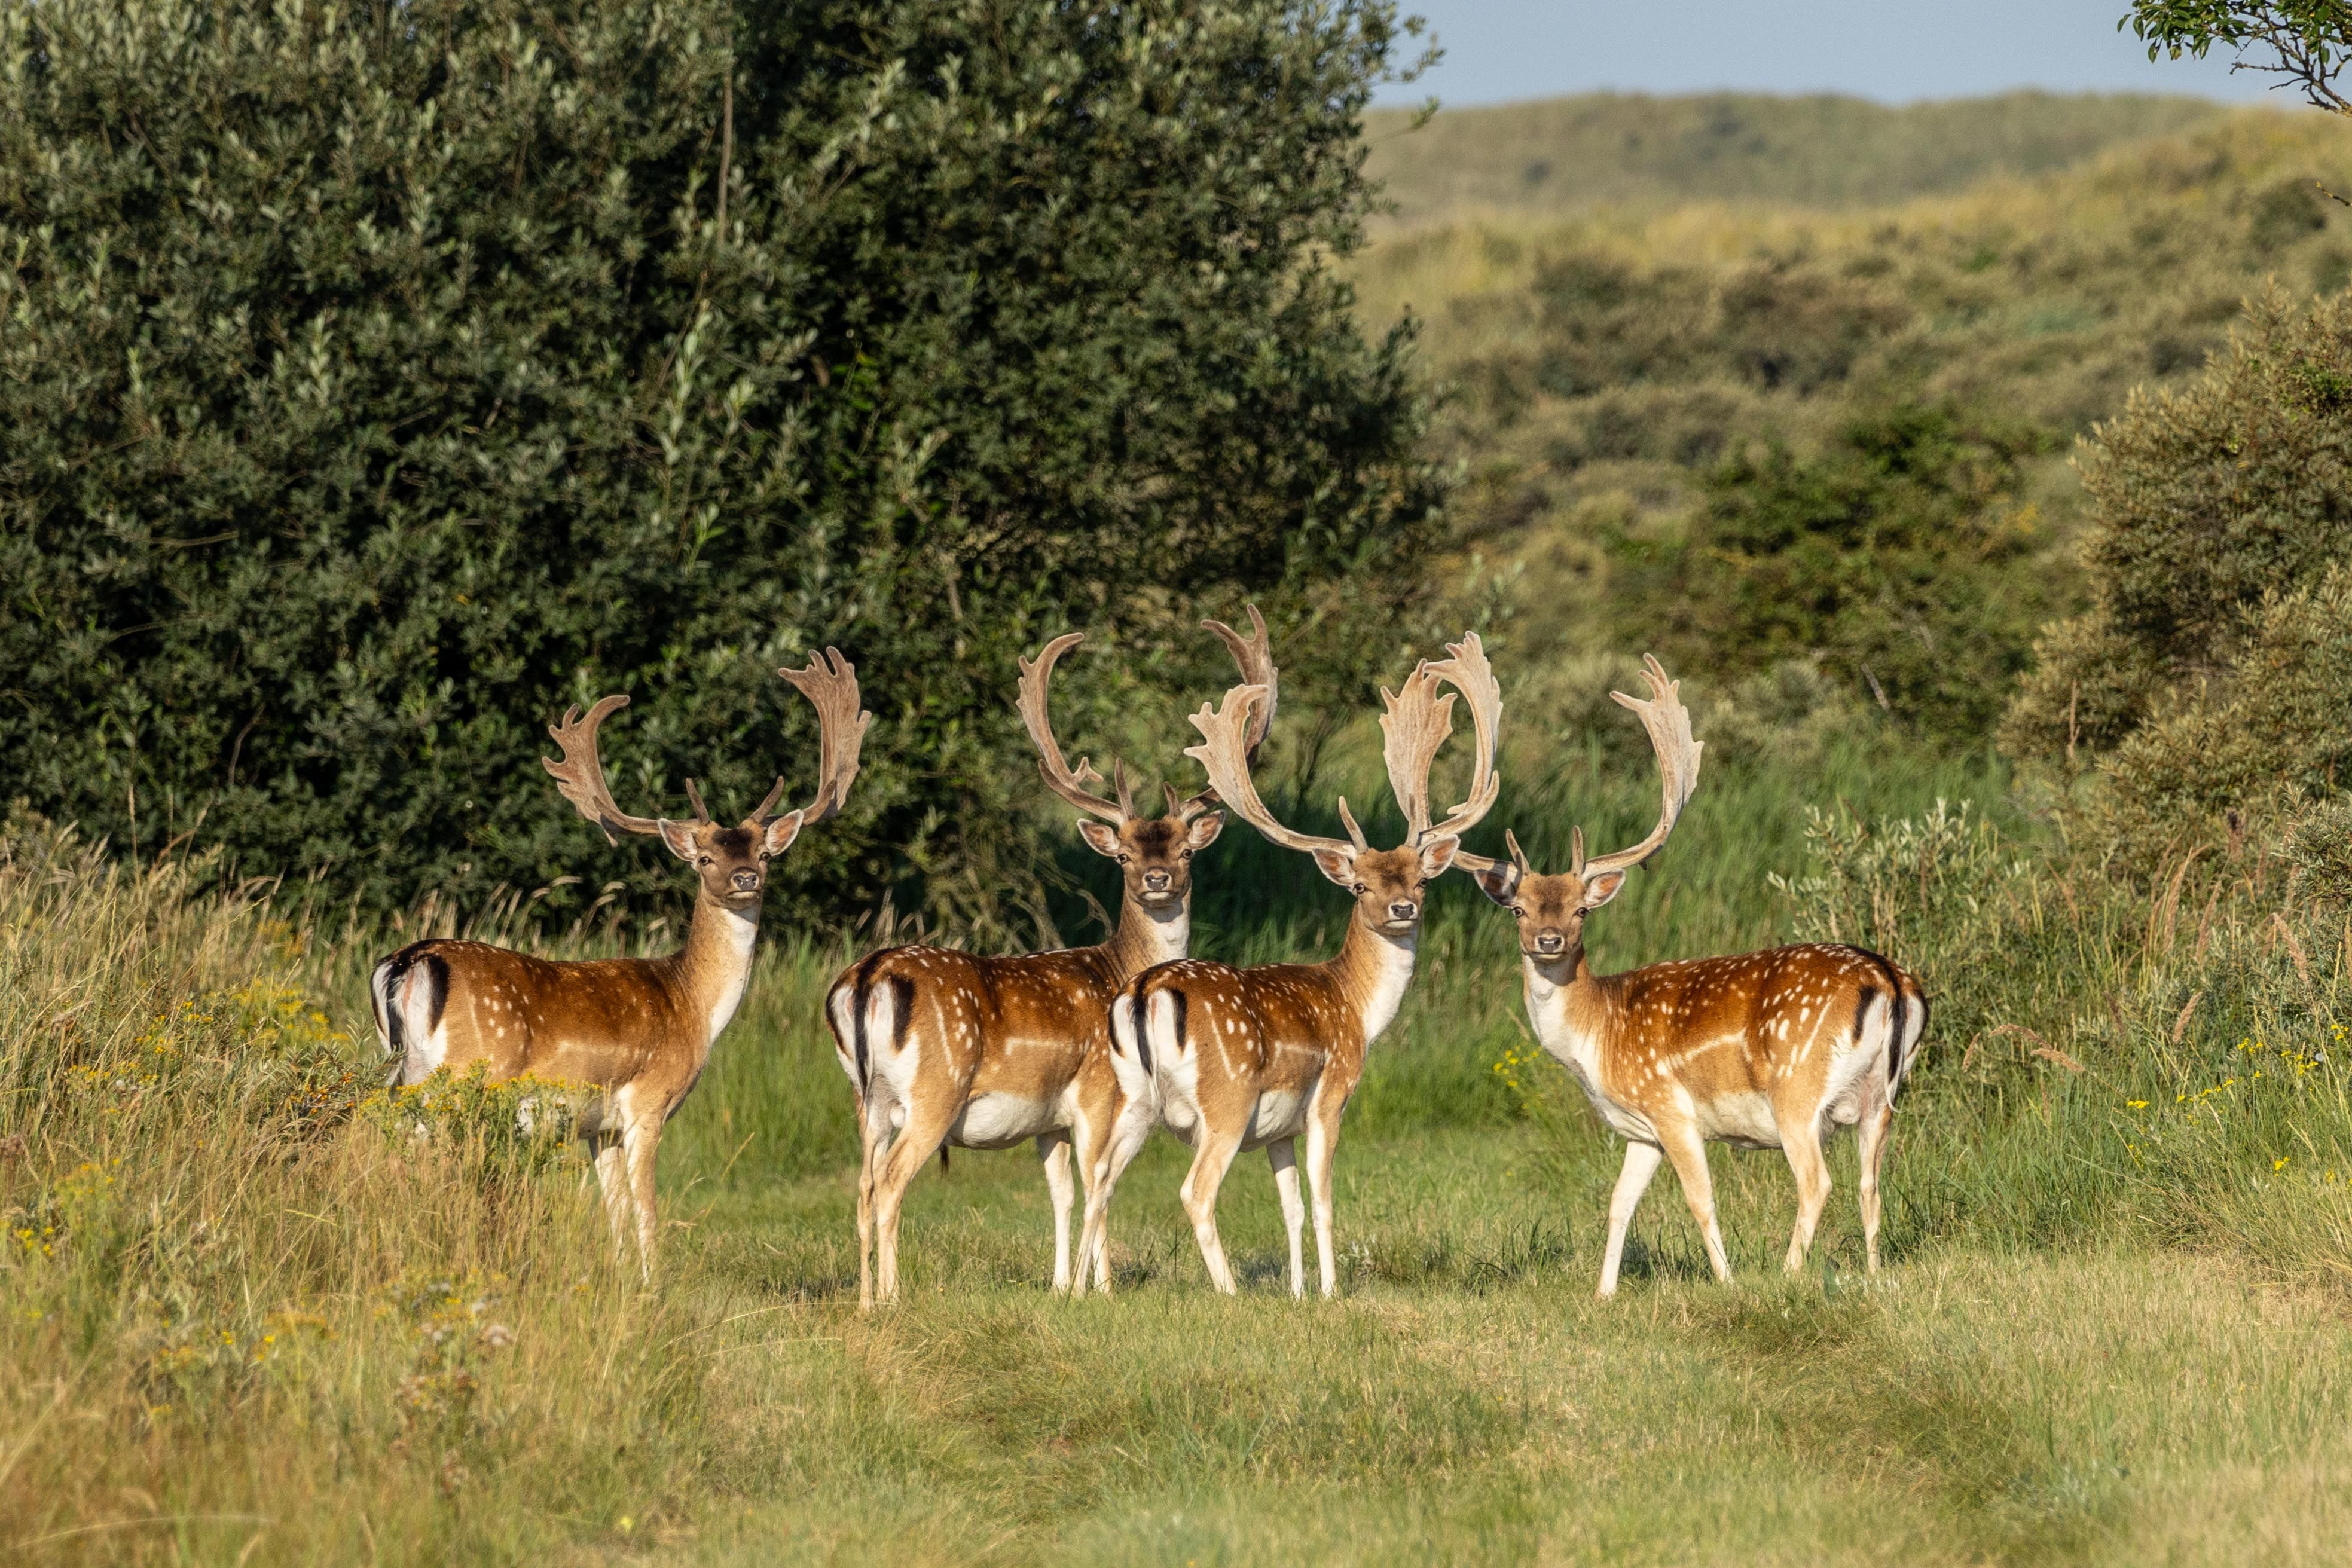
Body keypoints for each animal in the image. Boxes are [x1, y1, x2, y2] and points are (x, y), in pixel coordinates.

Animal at [369, 651, 870, 1280]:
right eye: (704, 858)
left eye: (763, 853)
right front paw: (656, 1285)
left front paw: (623, 1281)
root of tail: (407, 962)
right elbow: (647, 1211)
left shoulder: (599, 1126)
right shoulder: (647, 1103)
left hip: (402, 1076)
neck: (694, 1005)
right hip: (463, 1079)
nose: (744, 878)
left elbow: (615, 1215)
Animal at [826, 612, 1277, 1309]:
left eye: (1185, 850)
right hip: (934, 1088)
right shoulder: (1097, 1090)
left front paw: (1063, 1283)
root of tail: (868, 978)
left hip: (864, 1098)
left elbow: (1061, 1193)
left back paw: (866, 1299)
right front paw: (1103, 1289)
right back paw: (895, 1297)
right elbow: (1098, 1184)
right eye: (1122, 854)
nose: (1156, 879)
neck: (1117, 967)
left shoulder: (1047, 1120)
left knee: (862, 1187)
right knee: (892, 1183)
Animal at [1079, 633, 1502, 1300]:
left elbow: (1292, 1207)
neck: (1356, 1007)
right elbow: (1324, 1200)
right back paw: (1228, 1291)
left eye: (1419, 879)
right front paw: (1330, 1292)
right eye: (1359, 886)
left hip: (1131, 1096)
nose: (1403, 908)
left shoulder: (1275, 1130)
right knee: (1194, 1191)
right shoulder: (1330, 1094)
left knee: (1097, 1177)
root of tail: (1146, 989)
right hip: (1224, 1098)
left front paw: (1300, 1292)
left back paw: (1075, 1289)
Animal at [1451, 655, 1929, 1297]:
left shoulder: (1671, 1108)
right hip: (1883, 1096)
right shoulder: (1640, 1130)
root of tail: (1890, 980)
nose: (1548, 941)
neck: (1597, 1036)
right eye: (1519, 909)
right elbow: (1618, 1204)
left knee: (1817, 1181)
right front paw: (1603, 1293)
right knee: (1871, 1182)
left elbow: (1701, 1200)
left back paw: (1787, 1274)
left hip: (1797, 1090)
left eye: (1580, 910)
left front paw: (1726, 1281)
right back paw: (1876, 1274)